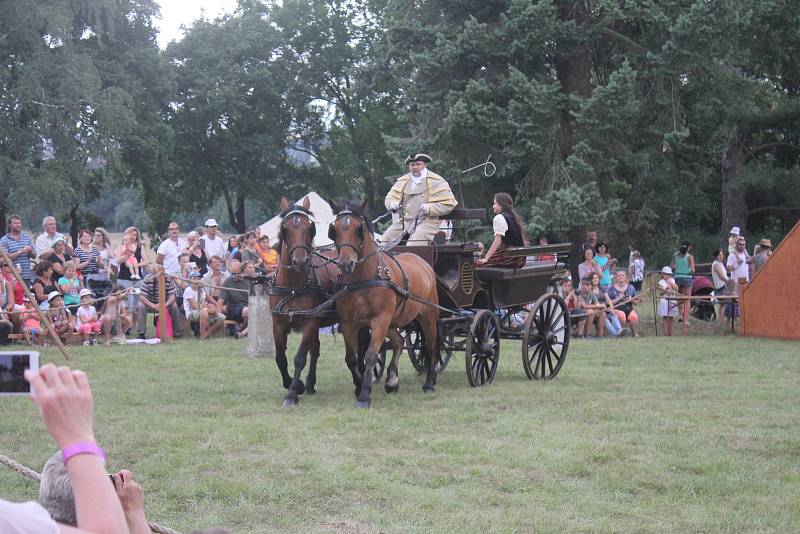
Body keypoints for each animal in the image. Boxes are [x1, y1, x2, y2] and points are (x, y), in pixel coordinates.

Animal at [272, 196, 340, 406]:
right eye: (285, 228)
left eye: (310, 228)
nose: (300, 261)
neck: (293, 285)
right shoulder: (278, 322)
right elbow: (280, 357)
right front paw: (294, 384)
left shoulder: (310, 321)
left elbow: (300, 357)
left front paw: (293, 392)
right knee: (315, 350)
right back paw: (310, 384)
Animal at [324, 199, 438, 408]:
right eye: (334, 229)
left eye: (358, 229)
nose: (346, 263)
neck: (364, 279)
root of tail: (422, 262)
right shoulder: (348, 323)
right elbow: (351, 358)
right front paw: (360, 385)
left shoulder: (380, 320)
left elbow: (370, 355)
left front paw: (364, 395)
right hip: (393, 322)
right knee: (399, 342)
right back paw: (392, 381)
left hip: (427, 317)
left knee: (431, 345)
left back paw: (429, 383)